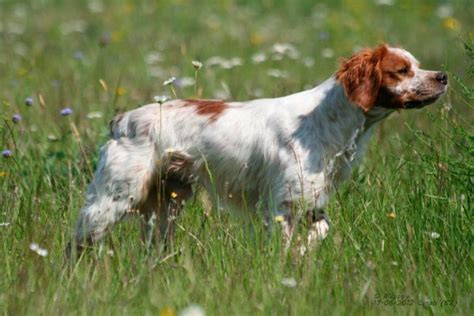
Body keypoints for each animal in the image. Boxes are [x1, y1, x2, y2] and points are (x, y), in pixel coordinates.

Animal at [67, 43, 448, 256]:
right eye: (402, 70)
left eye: (416, 65)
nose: (443, 76)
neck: (325, 119)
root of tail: (122, 120)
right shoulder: (281, 206)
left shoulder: (311, 201)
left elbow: (320, 232)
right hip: (114, 199)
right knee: (75, 246)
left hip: (165, 208)